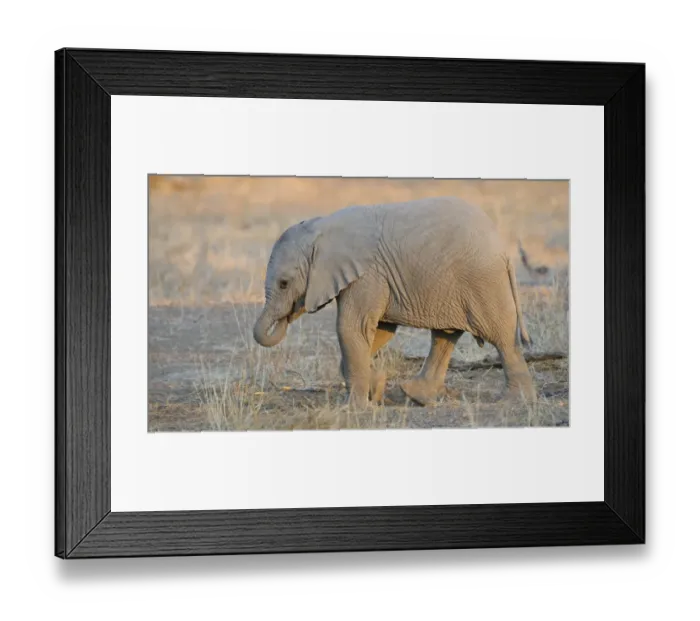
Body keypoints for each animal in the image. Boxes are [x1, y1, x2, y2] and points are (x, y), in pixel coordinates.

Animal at [253, 196, 536, 409]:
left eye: (284, 284)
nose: (287, 314)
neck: (321, 228)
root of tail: (503, 249)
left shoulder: (367, 274)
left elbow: (351, 329)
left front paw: (354, 408)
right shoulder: (376, 277)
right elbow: (377, 331)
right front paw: (375, 386)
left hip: (482, 281)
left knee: (501, 337)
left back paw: (514, 400)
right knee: (445, 335)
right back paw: (415, 396)